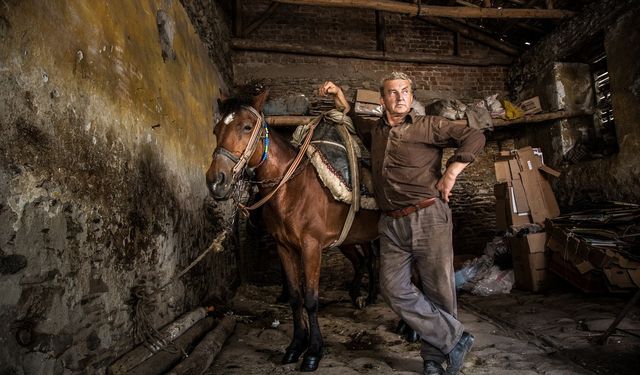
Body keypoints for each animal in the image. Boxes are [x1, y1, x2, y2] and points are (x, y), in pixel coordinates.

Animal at [208, 89, 380, 374]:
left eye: (246, 127)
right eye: (215, 129)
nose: (215, 181)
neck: (292, 188)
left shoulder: (311, 247)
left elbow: (311, 299)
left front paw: (313, 352)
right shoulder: (284, 247)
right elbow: (295, 297)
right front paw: (295, 346)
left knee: (377, 260)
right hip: (350, 239)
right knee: (363, 261)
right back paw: (362, 295)